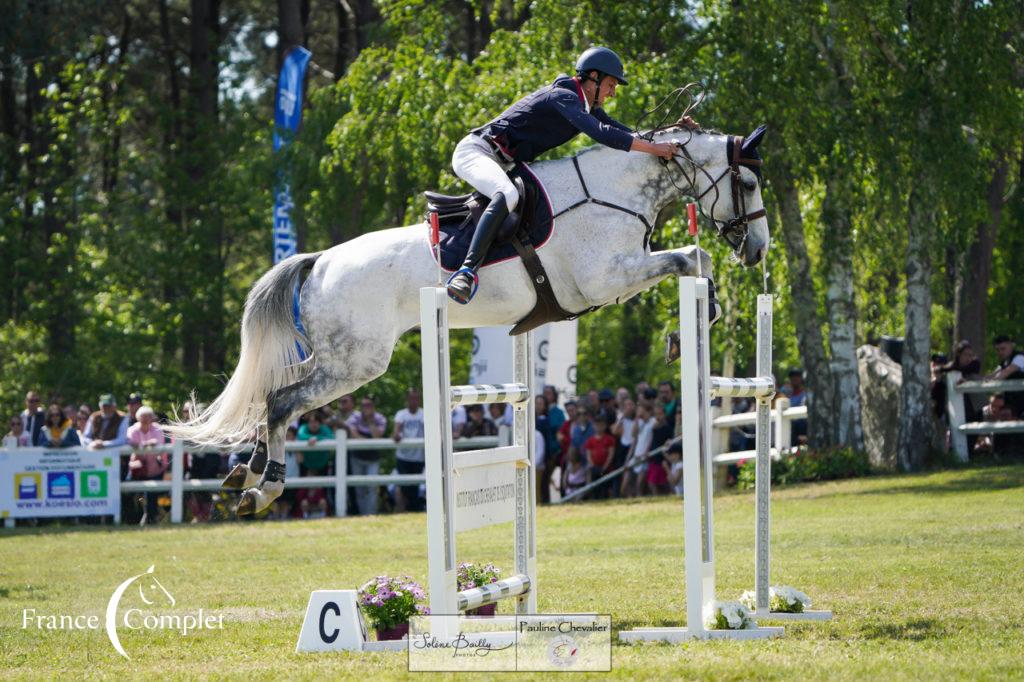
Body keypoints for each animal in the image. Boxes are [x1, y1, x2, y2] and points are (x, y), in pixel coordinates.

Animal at [165, 124, 770, 512]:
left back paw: (243, 473)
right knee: (281, 402)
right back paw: (264, 489)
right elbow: (690, 258)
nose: (758, 249)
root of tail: (320, 262)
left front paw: (698, 319)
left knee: (274, 393)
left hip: (335, 356)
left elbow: (695, 260)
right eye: (747, 183)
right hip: (356, 363)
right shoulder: (607, 277)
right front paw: (690, 327)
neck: (612, 192)